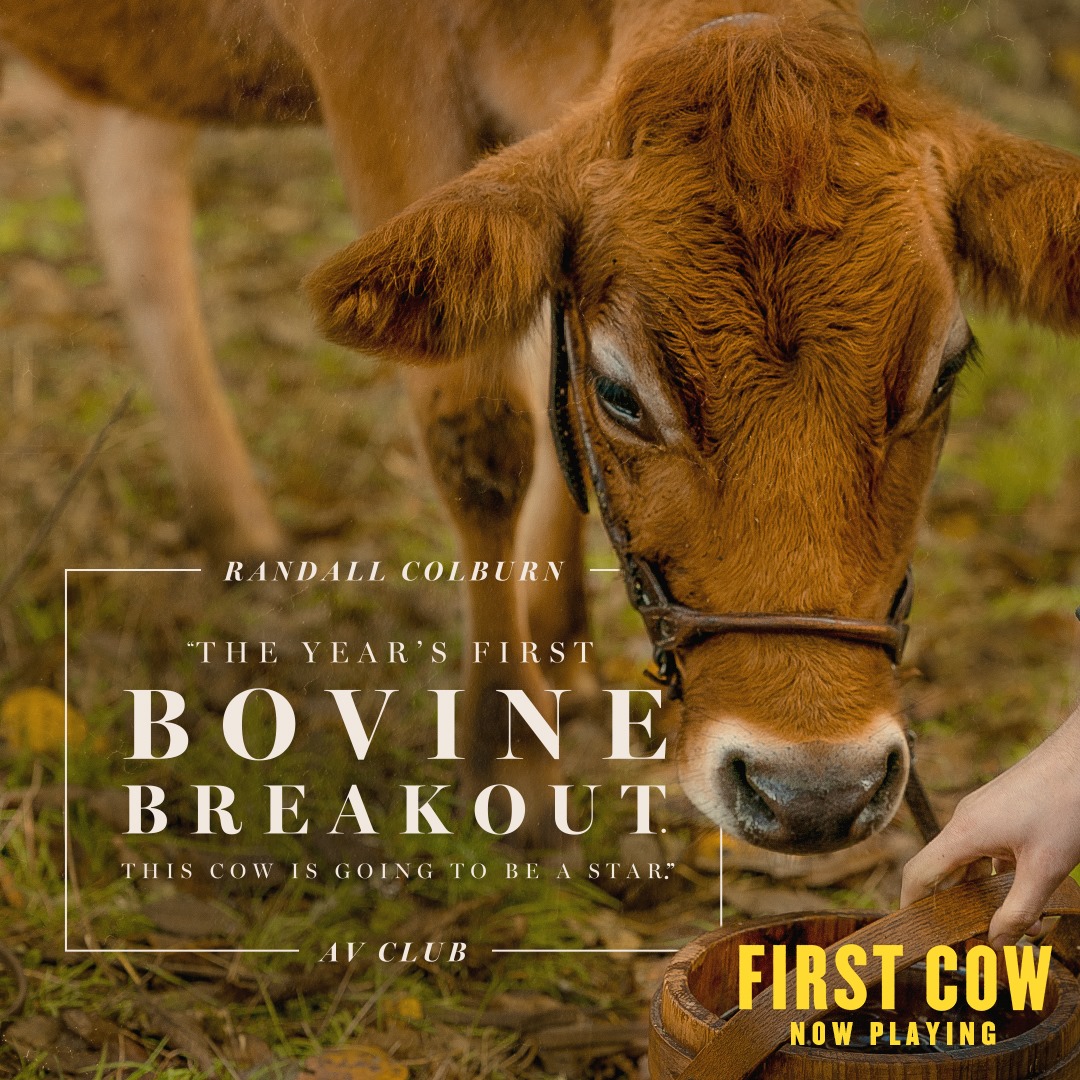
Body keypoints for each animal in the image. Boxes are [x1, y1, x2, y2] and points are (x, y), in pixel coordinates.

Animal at [3, 1, 1078, 852]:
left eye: (944, 372)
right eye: (620, 392)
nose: (815, 790)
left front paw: (560, 656)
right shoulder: (376, 63)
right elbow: (480, 430)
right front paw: (510, 757)